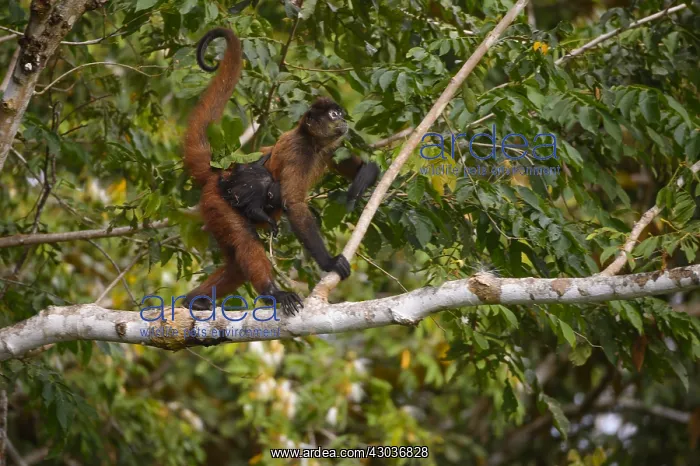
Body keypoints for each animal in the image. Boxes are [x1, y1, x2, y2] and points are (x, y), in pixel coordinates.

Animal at [182, 28, 379, 316]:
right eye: (333, 115)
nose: (343, 120)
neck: (311, 143)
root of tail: (218, 173)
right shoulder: (299, 151)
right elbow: (294, 204)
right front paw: (329, 262)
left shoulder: (328, 149)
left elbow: (356, 167)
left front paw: (366, 175)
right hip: (218, 201)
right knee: (246, 240)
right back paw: (273, 293)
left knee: (236, 264)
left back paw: (192, 301)